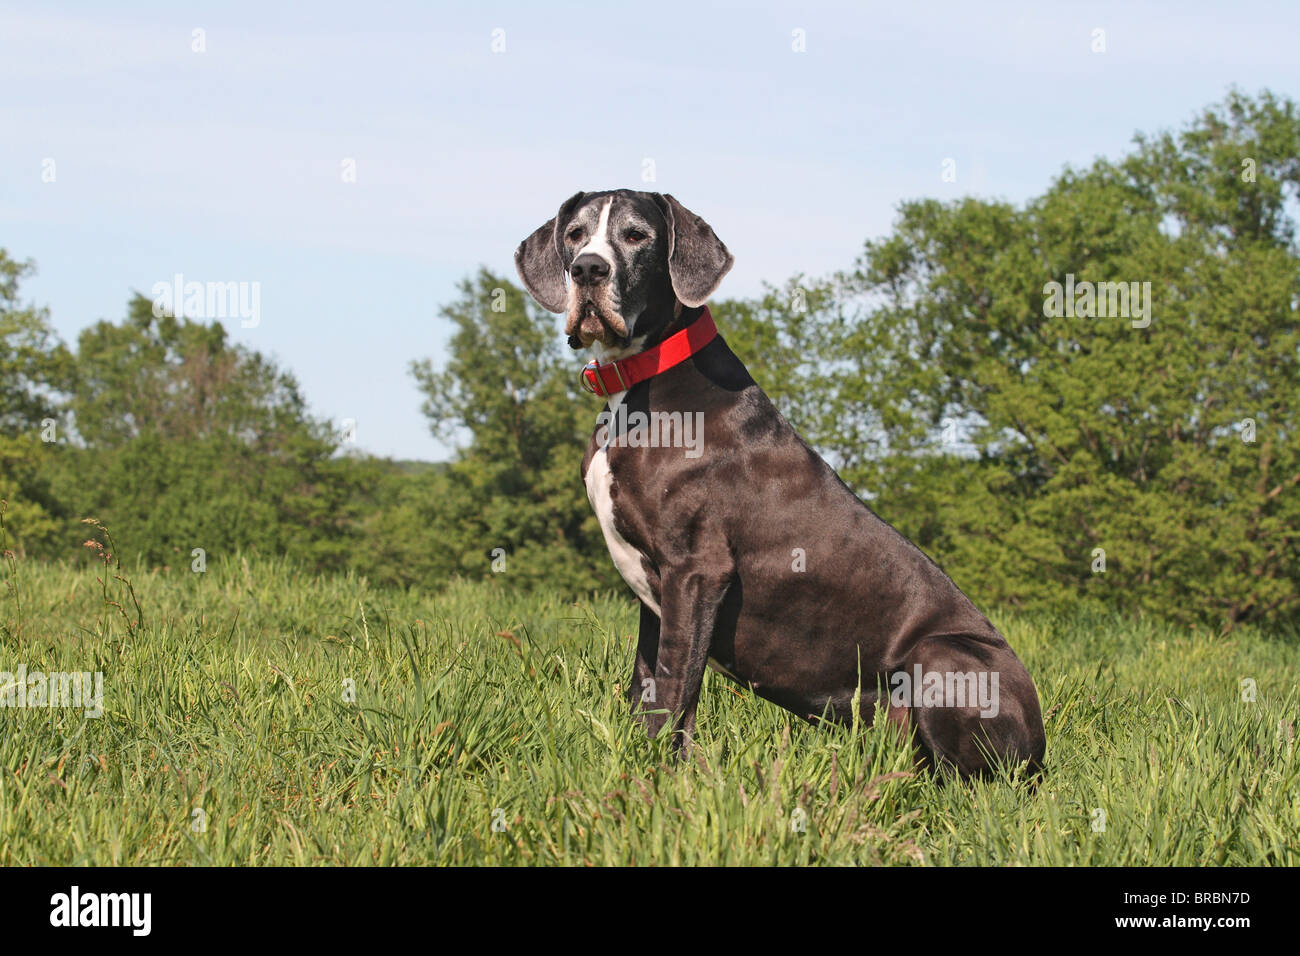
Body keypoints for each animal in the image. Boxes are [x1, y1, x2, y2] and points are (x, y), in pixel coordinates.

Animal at [514, 191, 1045, 780]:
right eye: (575, 234)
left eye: (635, 235)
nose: (587, 269)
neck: (636, 385)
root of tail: (1041, 745)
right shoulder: (656, 593)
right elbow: (647, 687)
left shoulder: (696, 569)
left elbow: (674, 692)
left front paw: (659, 778)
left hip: (942, 656)